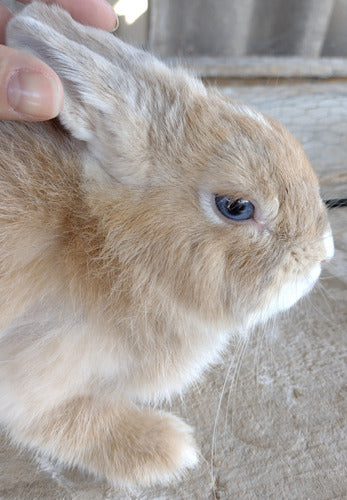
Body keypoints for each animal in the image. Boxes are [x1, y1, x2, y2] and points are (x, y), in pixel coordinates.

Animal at [0, 0, 336, 488]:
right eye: (236, 207)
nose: (323, 255)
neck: (110, 242)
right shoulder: (32, 372)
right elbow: (63, 421)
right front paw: (167, 451)